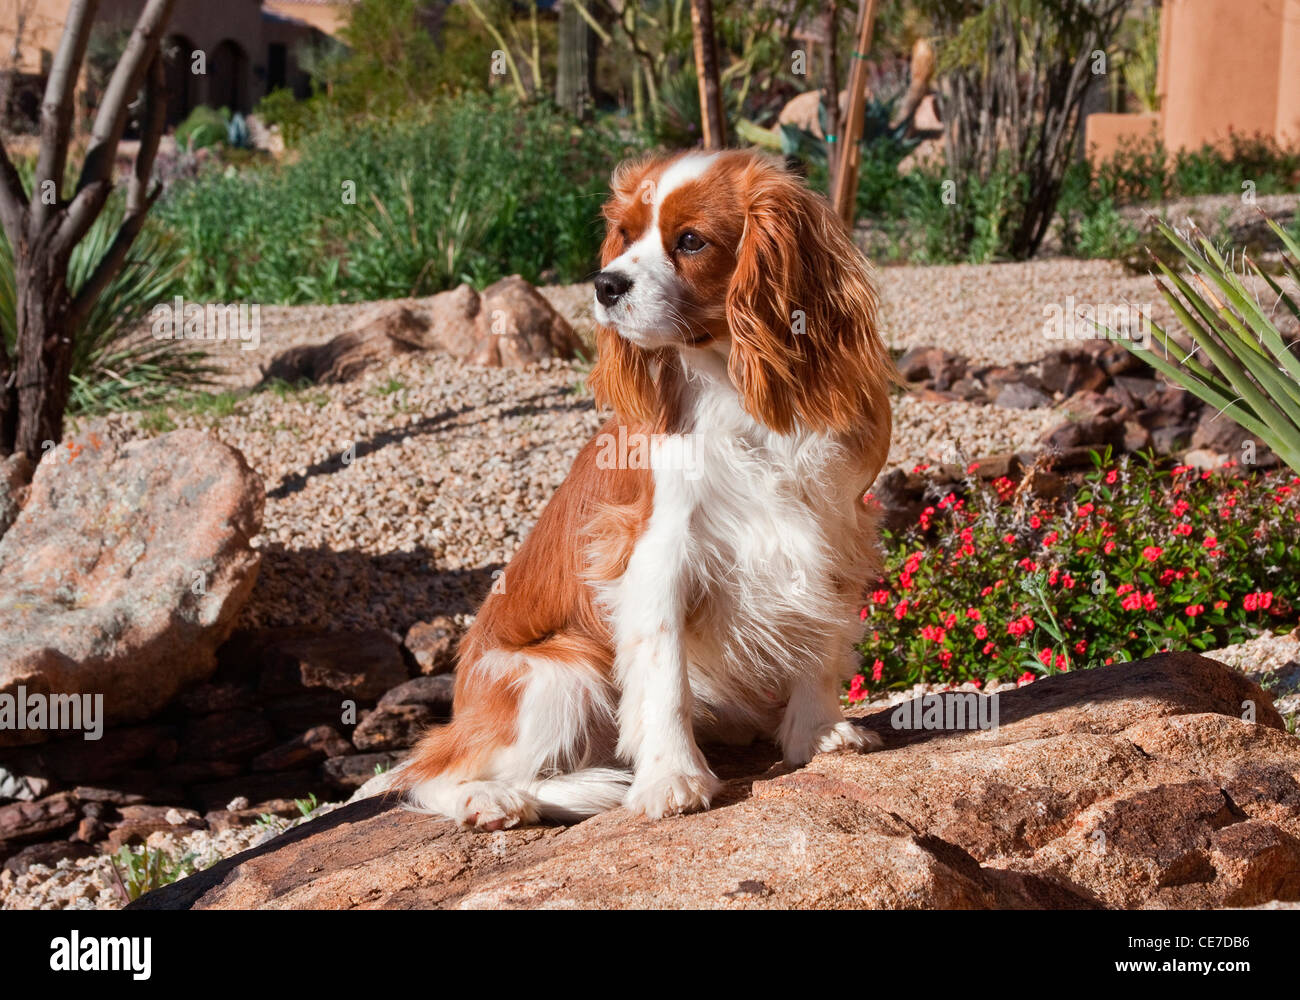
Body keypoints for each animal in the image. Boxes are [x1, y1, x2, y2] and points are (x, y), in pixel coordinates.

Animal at [384, 148, 894, 827]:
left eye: (691, 241)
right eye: (625, 236)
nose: (605, 284)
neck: (730, 386)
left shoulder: (830, 530)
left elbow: (818, 640)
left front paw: (815, 734)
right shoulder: (656, 555)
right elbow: (664, 677)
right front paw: (672, 778)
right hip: (560, 675)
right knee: (426, 772)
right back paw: (494, 799)